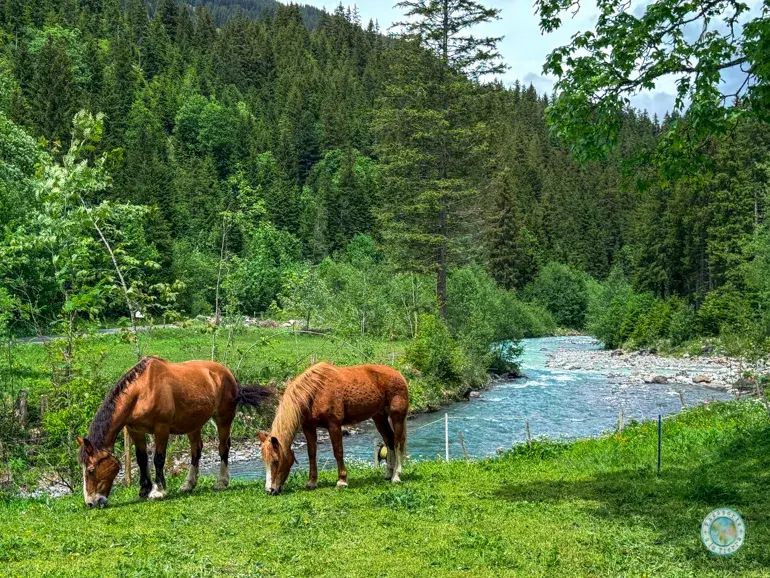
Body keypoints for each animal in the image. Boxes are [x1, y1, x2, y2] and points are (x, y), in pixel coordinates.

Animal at [77, 356, 274, 507]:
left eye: (91, 470)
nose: (91, 502)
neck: (142, 391)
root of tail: (228, 374)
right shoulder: (135, 431)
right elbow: (142, 459)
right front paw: (144, 490)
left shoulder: (161, 429)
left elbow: (158, 459)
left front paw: (158, 490)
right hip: (193, 424)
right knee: (196, 451)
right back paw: (188, 484)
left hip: (223, 419)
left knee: (223, 448)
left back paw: (221, 482)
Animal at [258, 362, 409, 494]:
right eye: (264, 461)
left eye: (276, 461)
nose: (270, 490)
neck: (315, 392)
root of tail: (398, 374)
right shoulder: (308, 427)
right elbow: (311, 453)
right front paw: (312, 482)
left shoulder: (334, 425)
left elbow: (338, 452)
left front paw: (342, 481)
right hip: (379, 417)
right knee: (389, 440)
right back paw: (388, 474)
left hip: (397, 417)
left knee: (398, 443)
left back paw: (396, 476)